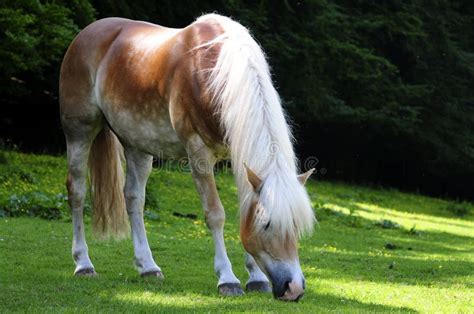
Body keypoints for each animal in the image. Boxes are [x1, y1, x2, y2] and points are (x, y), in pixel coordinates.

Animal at [60, 12, 314, 302]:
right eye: (268, 225)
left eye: (296, 226)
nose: (293, 288)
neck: (213, 73)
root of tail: (87, 33)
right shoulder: (199, 155)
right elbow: (215, 214)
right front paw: (228, 279)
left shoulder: (239, 158)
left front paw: (256, 278)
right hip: (79, 131)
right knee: (77, 191)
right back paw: (83, 264)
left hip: (137, 145)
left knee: (133, 198)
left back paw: (148, 267)